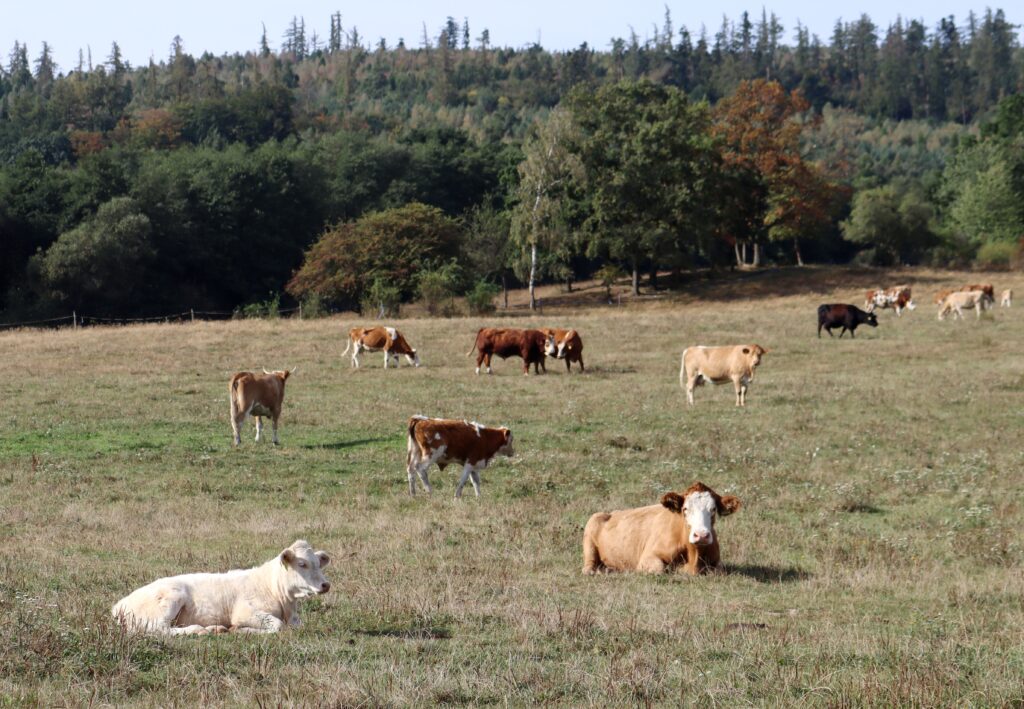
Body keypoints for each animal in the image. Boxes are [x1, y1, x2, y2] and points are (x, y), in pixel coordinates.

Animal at [112, 540, 329, 635]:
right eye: (302, 564)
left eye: (319, 563)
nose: (326, 584)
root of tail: (119, 604)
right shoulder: (244, 612)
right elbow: (276, 626)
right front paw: (242, 631)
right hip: (169, 601)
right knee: (160, 629)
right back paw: (199, 630)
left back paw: (215, 628)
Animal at [581, 481, 741, 577]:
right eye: (685, 509)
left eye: (713, 509)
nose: (701, 535)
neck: (694, 556)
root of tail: (612, 512)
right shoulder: (647, 558)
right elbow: (659, 569)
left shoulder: (717, 564)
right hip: (591, 532)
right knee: (588, 567)